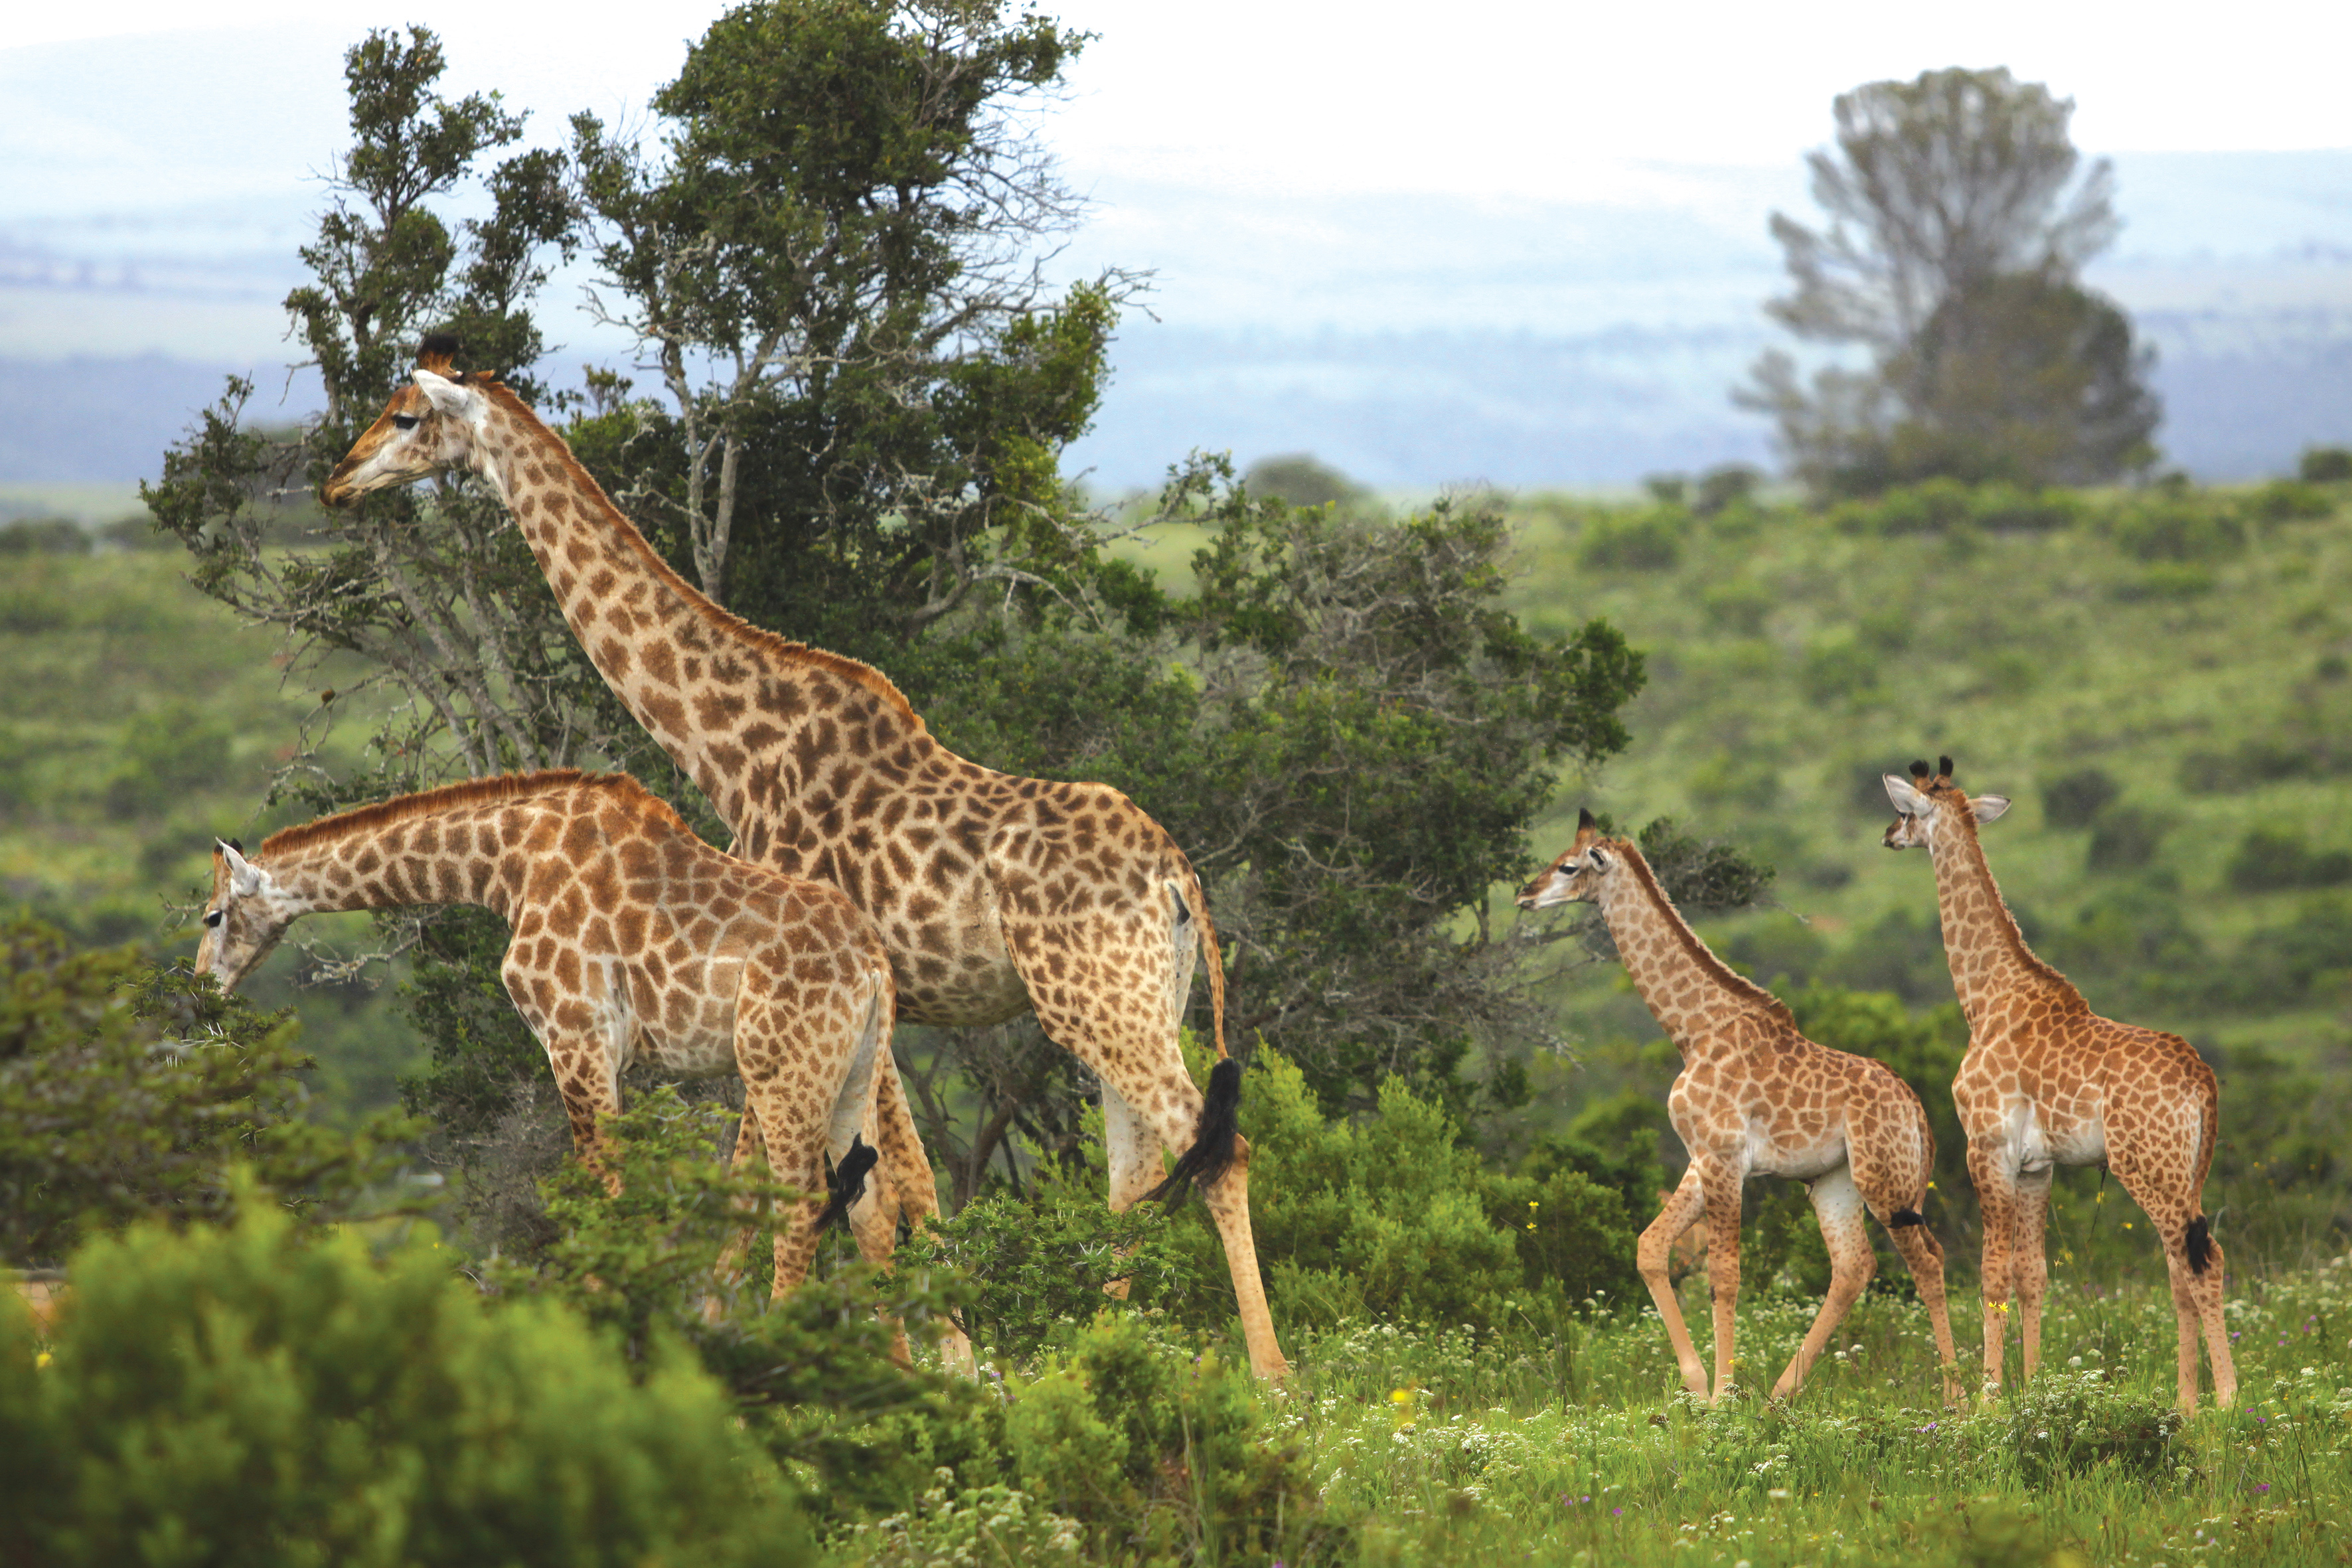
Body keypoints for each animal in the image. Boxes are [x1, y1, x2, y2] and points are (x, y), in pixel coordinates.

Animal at [194, 769, 933, 1308]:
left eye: (212, 916)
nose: (200, 988)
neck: (507, 863)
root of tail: (873, 965)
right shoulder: (607, 1053)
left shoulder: (576, 1034)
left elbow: (602, 1189)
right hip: (852, 1069)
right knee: (875, 1206)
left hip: (781, 1070)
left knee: (804, 1204)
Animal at [320, 336, 1288, 1379]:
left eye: (406, 415)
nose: (337, 479)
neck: (731, 748)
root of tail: (1179, 877)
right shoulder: (868, 1002)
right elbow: (899, 1180)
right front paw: (945, 1352)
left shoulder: (807, 987)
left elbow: (809, 1176)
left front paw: (761, 1331)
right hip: (1137, 997)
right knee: (1136, 1165)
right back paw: (1103, 1353)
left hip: (1097, 997)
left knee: (1213, 1147)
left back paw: (1270, 1378)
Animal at [1519, 809, 1961, 1404]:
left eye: (1567, 866)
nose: (1524, 894)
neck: (1695, 1032)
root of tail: (1917, 1112)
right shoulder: (1700, 1157)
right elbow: (1649, 1247)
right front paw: (1696, 1386)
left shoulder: (1725, 1158)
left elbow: (1724, 1275)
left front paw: (1722, 1396)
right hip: (1834, 1180)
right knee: (1853, 1267)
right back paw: (1779, 1394)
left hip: (1883, 1178)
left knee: (1928, 1263)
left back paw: (1962, 1398)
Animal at [1883, 756, 2237, 1412]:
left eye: (1904, 810)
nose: (1888, 836)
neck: (1986, 998)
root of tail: (2202, 1080)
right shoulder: (2036, 1164)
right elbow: (2033, 1274)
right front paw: (2034, 1390)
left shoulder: (1985, 1148)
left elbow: (1992, 1272)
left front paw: (1990, 1398)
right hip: (2187, 1170)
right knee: (2181, 1266)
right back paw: (2185, 1403)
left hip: (2146, 1166)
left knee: (2202, 1263)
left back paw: (2226, 1400)